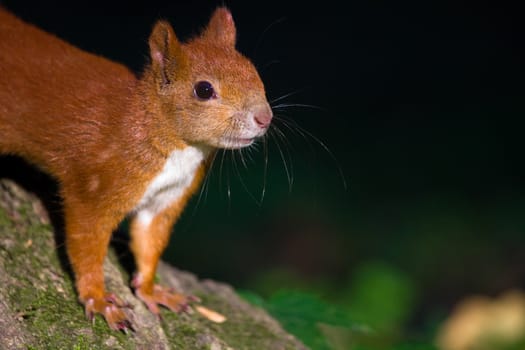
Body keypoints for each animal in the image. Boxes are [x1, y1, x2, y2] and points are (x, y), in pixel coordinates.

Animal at [0, 7, 270, 330]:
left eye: (253, 70)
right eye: (204, 90)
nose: (265, 118)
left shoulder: (168, 196)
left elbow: (149, 241)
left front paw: (152, 291)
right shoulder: (96, 185)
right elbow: (85, 241)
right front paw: (99, 299)